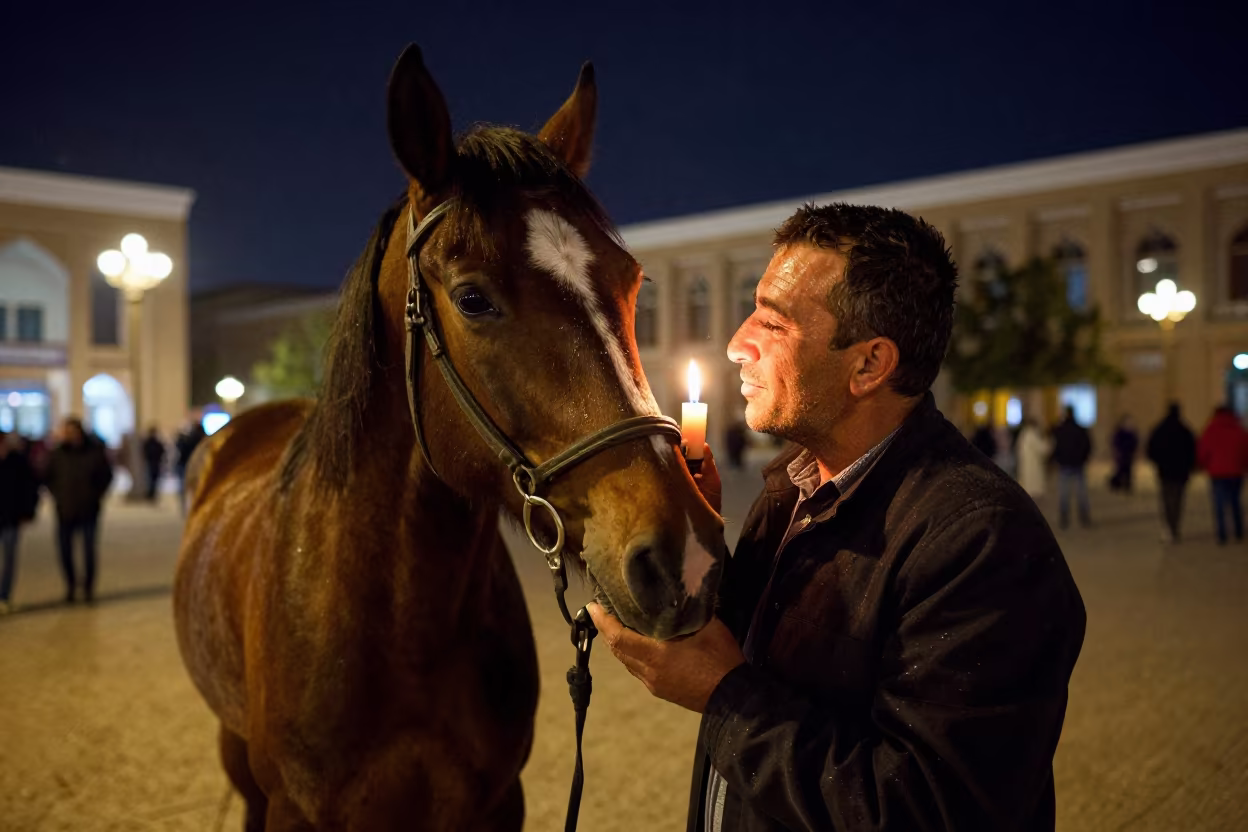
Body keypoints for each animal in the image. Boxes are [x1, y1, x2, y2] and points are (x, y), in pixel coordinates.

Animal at [174, 44, 724, 831]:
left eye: (633, 280)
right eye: (472, 298)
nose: (685, 558)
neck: (404, 630)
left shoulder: (495, 802)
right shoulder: (291, 806)